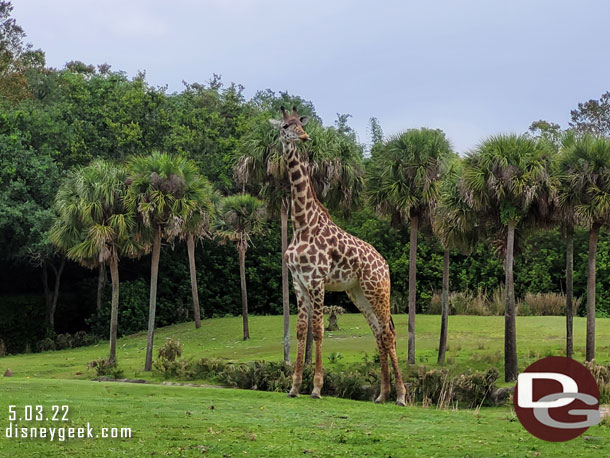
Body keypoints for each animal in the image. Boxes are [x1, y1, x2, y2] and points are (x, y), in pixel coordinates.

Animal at [268, 106, 404, 404]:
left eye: (300, 124)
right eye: (285, 126)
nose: (304, 137)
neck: (301, 224)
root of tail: (385, 264)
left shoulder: (317, 280)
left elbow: (319, 331)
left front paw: (317, 388)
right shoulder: (298, 282)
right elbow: (301, 331)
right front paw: (294, 387)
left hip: (377, 290)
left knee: (388, 332)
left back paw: (401, 395)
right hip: (358, 293)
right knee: (378, 333)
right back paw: (382, 395)